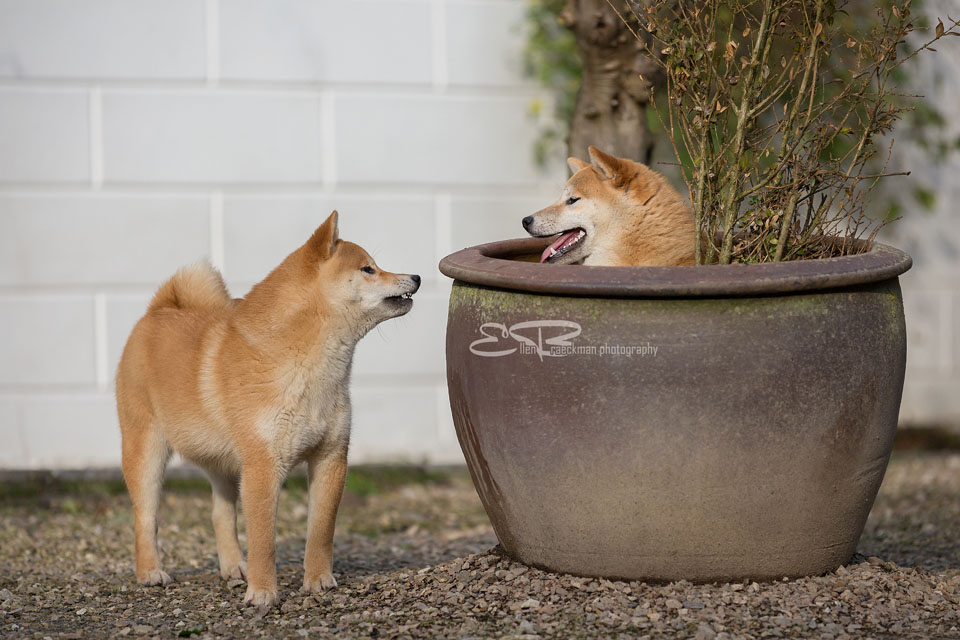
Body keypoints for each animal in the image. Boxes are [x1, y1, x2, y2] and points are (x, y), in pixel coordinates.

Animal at [115, 211, 420, 609]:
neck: (309, 367)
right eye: (368, 268)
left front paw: (318, 581)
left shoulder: (331, 456)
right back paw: (151, 572)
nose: (416, 276)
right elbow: (263, 541)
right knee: (145, 518)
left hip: (225, 464)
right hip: (147, 452)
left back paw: (233, 567)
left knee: (220, 515)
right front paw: (262, 593)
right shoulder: (263, 466)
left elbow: (320, 531)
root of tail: (158, 311)